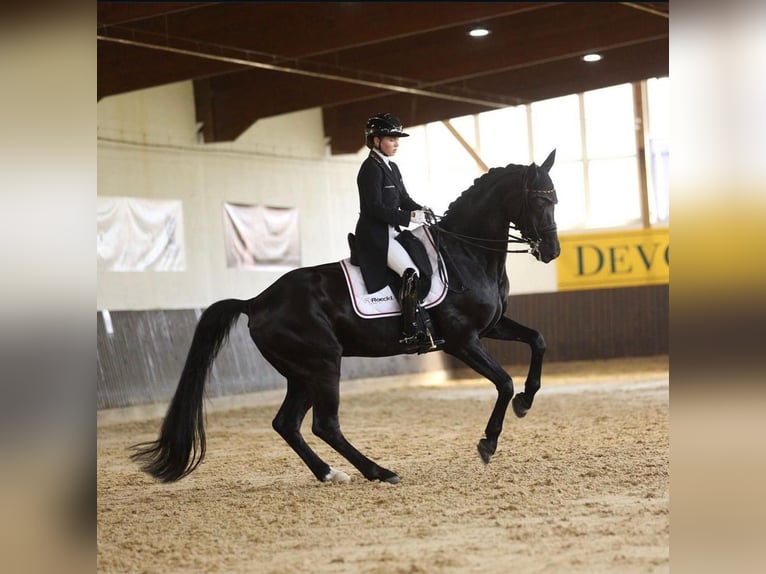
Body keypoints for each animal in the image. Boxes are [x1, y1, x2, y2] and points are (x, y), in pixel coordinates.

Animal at [132, 150, 560, 486]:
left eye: (554, 199)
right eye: (539, 202)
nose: (552, 251)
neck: (465, 253)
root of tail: (256, 301)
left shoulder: (491, 327)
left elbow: (538, 340)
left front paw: (526, 399)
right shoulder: (462, 340)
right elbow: (502, 382)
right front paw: (489, 442)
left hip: (303, 372)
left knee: (287, 424)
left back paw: (330, 473)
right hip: (323, 364)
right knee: (325, 424)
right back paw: (379, 471)